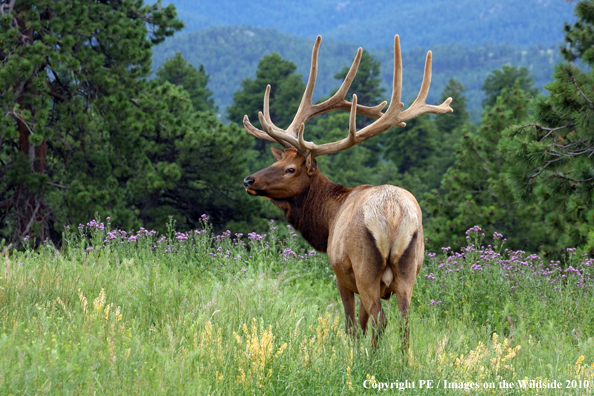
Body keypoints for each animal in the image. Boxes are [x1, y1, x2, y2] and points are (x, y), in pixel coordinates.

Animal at [240, 35, 448, 344]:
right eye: (278, 161)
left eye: (291, 169)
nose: (249, 181)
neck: (328, 220)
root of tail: (392, 214)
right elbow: (362, 324)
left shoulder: (341, 275)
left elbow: (351, 326)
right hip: (409, 270)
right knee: (404, 324)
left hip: (365, 268)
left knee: (380, 320)